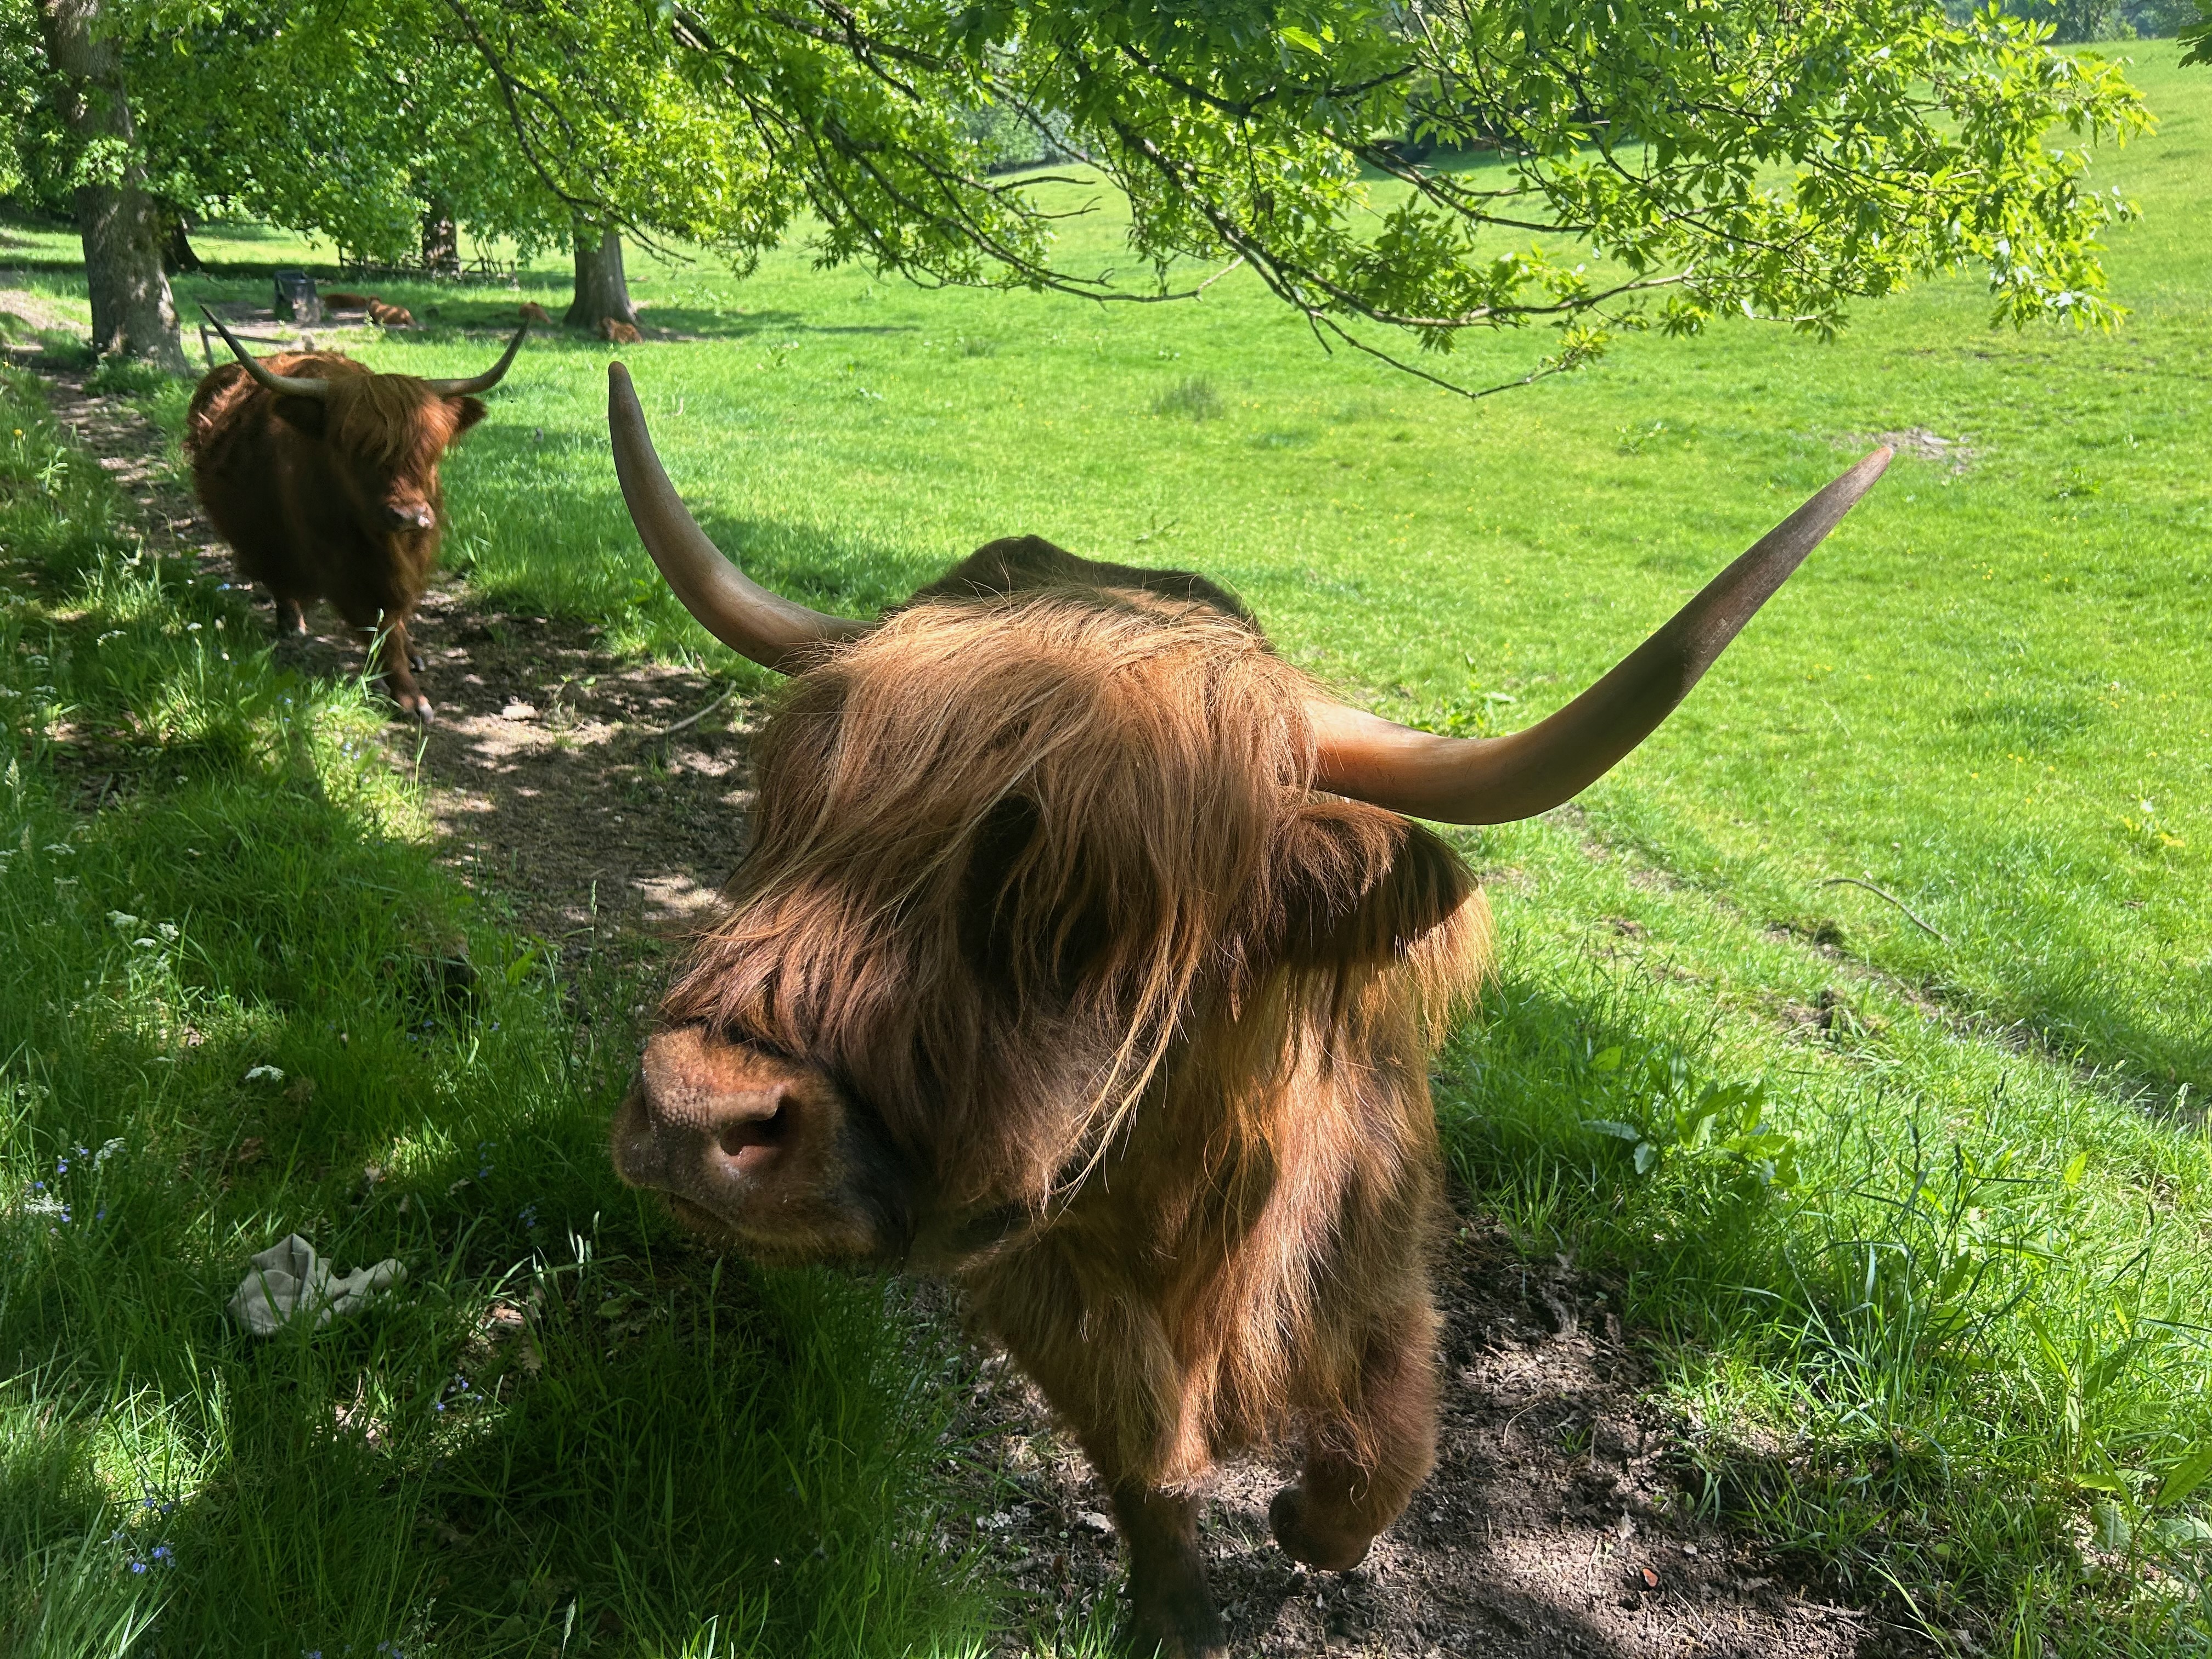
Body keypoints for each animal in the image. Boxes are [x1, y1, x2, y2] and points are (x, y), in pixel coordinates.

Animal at [186, 308, 528, 721]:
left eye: (429, 451)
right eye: (357, 451)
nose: (410, 516)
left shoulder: (410, 556)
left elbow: (396, 615)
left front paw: (409, 661)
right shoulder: (348, 567)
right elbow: (379, 626)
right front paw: (411, 699)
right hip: (257, 535)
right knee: (278, 578)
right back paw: (292, 623)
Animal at [599, 362, 1889, 1657]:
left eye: (1084, 901)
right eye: (793, 802)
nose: (697, 1109)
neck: (1190, 1211)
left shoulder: (1377, 1251)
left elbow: (1386, 1443)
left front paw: (1302, 1523)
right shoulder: (1045, 1283)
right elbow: (1142, 1455)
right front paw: (1173, 1609)